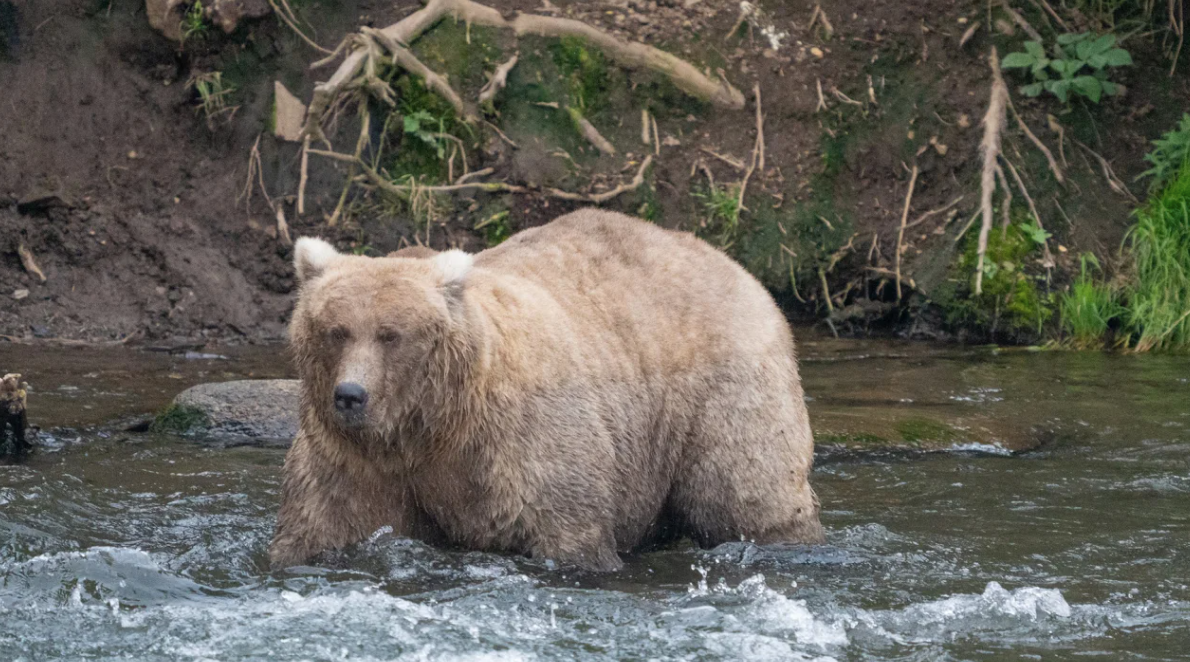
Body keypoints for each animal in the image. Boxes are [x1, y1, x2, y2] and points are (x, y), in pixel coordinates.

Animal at [271, 207, 823, 569]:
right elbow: (324, 524)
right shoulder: (355, 459)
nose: (350, 395)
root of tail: (733, 265)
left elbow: (566, 529)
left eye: (391, 334)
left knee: (746, 492)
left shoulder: (520, 443)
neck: (430, 425)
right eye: (336, 330)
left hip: (721, 391)